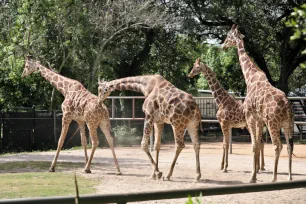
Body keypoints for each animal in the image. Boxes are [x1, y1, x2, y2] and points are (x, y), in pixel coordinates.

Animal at [222, 24, 294, 182]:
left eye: (229, 36)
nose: (222, 45)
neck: (249, 78)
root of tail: (287, 106)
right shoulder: (260, 120)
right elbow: (258, 144)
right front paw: (254, 175)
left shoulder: (250, 117)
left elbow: (254, 145)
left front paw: (252, 177)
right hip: (288, 123)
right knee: (289, 146)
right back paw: (290, 177)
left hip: (273, 123)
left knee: (277, 146)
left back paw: (274, 178)